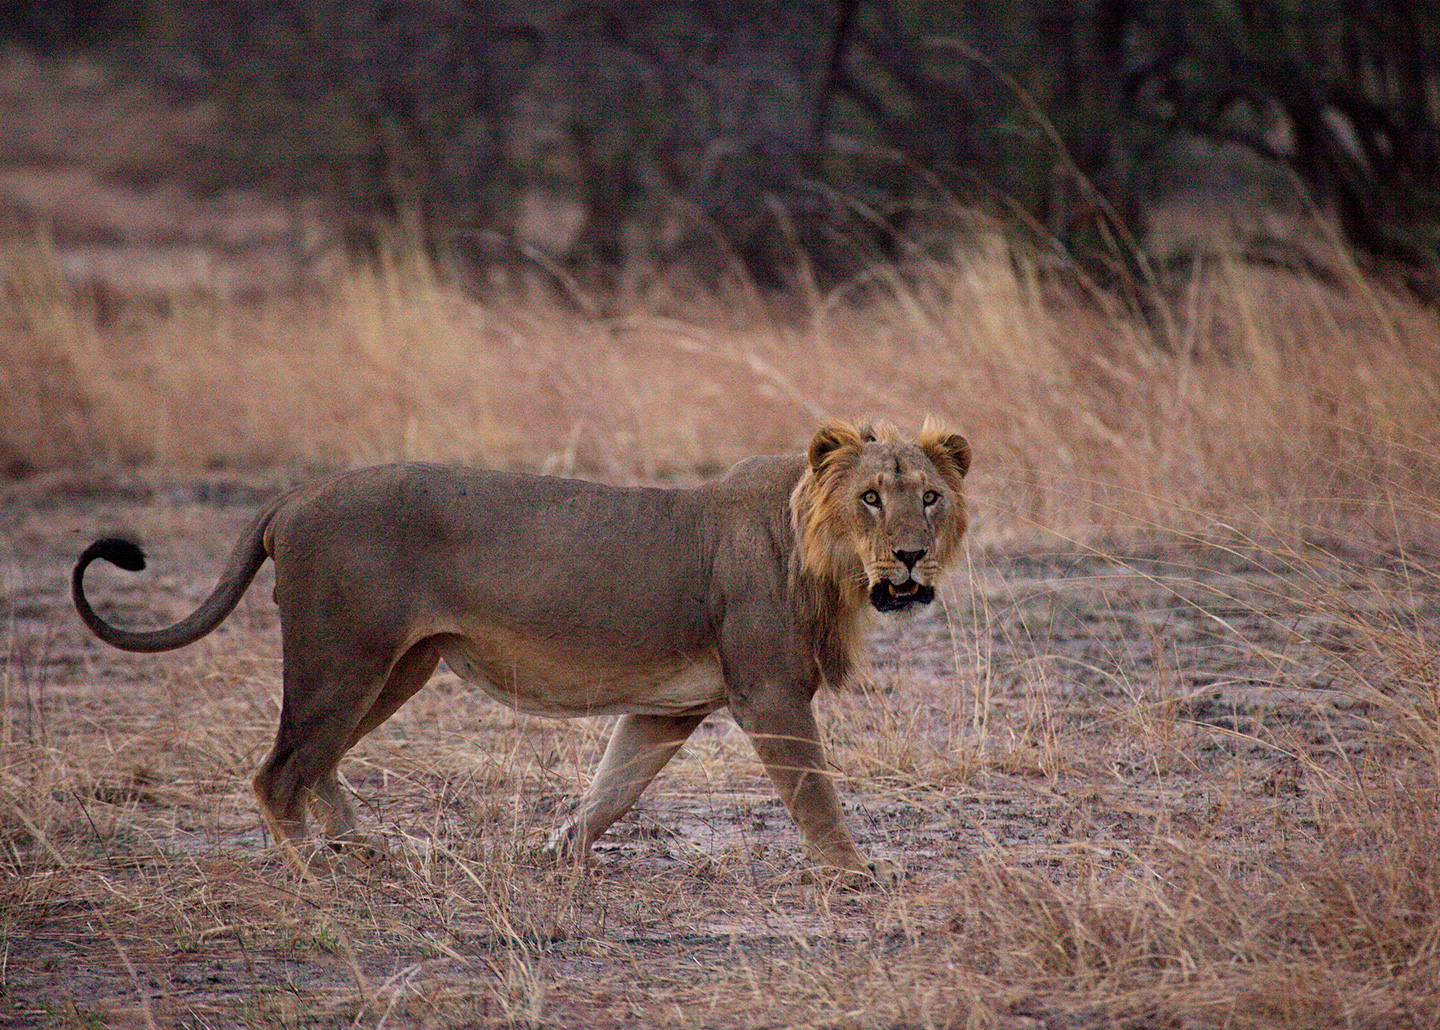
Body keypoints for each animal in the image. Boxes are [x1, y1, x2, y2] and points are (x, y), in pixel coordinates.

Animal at [70, 417, 967, 887]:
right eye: (871, 498)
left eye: (930, 497)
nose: (911, 558)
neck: (828, 562)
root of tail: (295, 494)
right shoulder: (769, 693)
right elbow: (815, 792)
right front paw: (854, 872)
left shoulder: (666, 709)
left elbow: (613, 790)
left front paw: (552, 853)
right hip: (343, 659)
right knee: (278, 773)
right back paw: (315, 871)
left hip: (396, 667)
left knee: (317, 763)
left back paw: (366, 848)